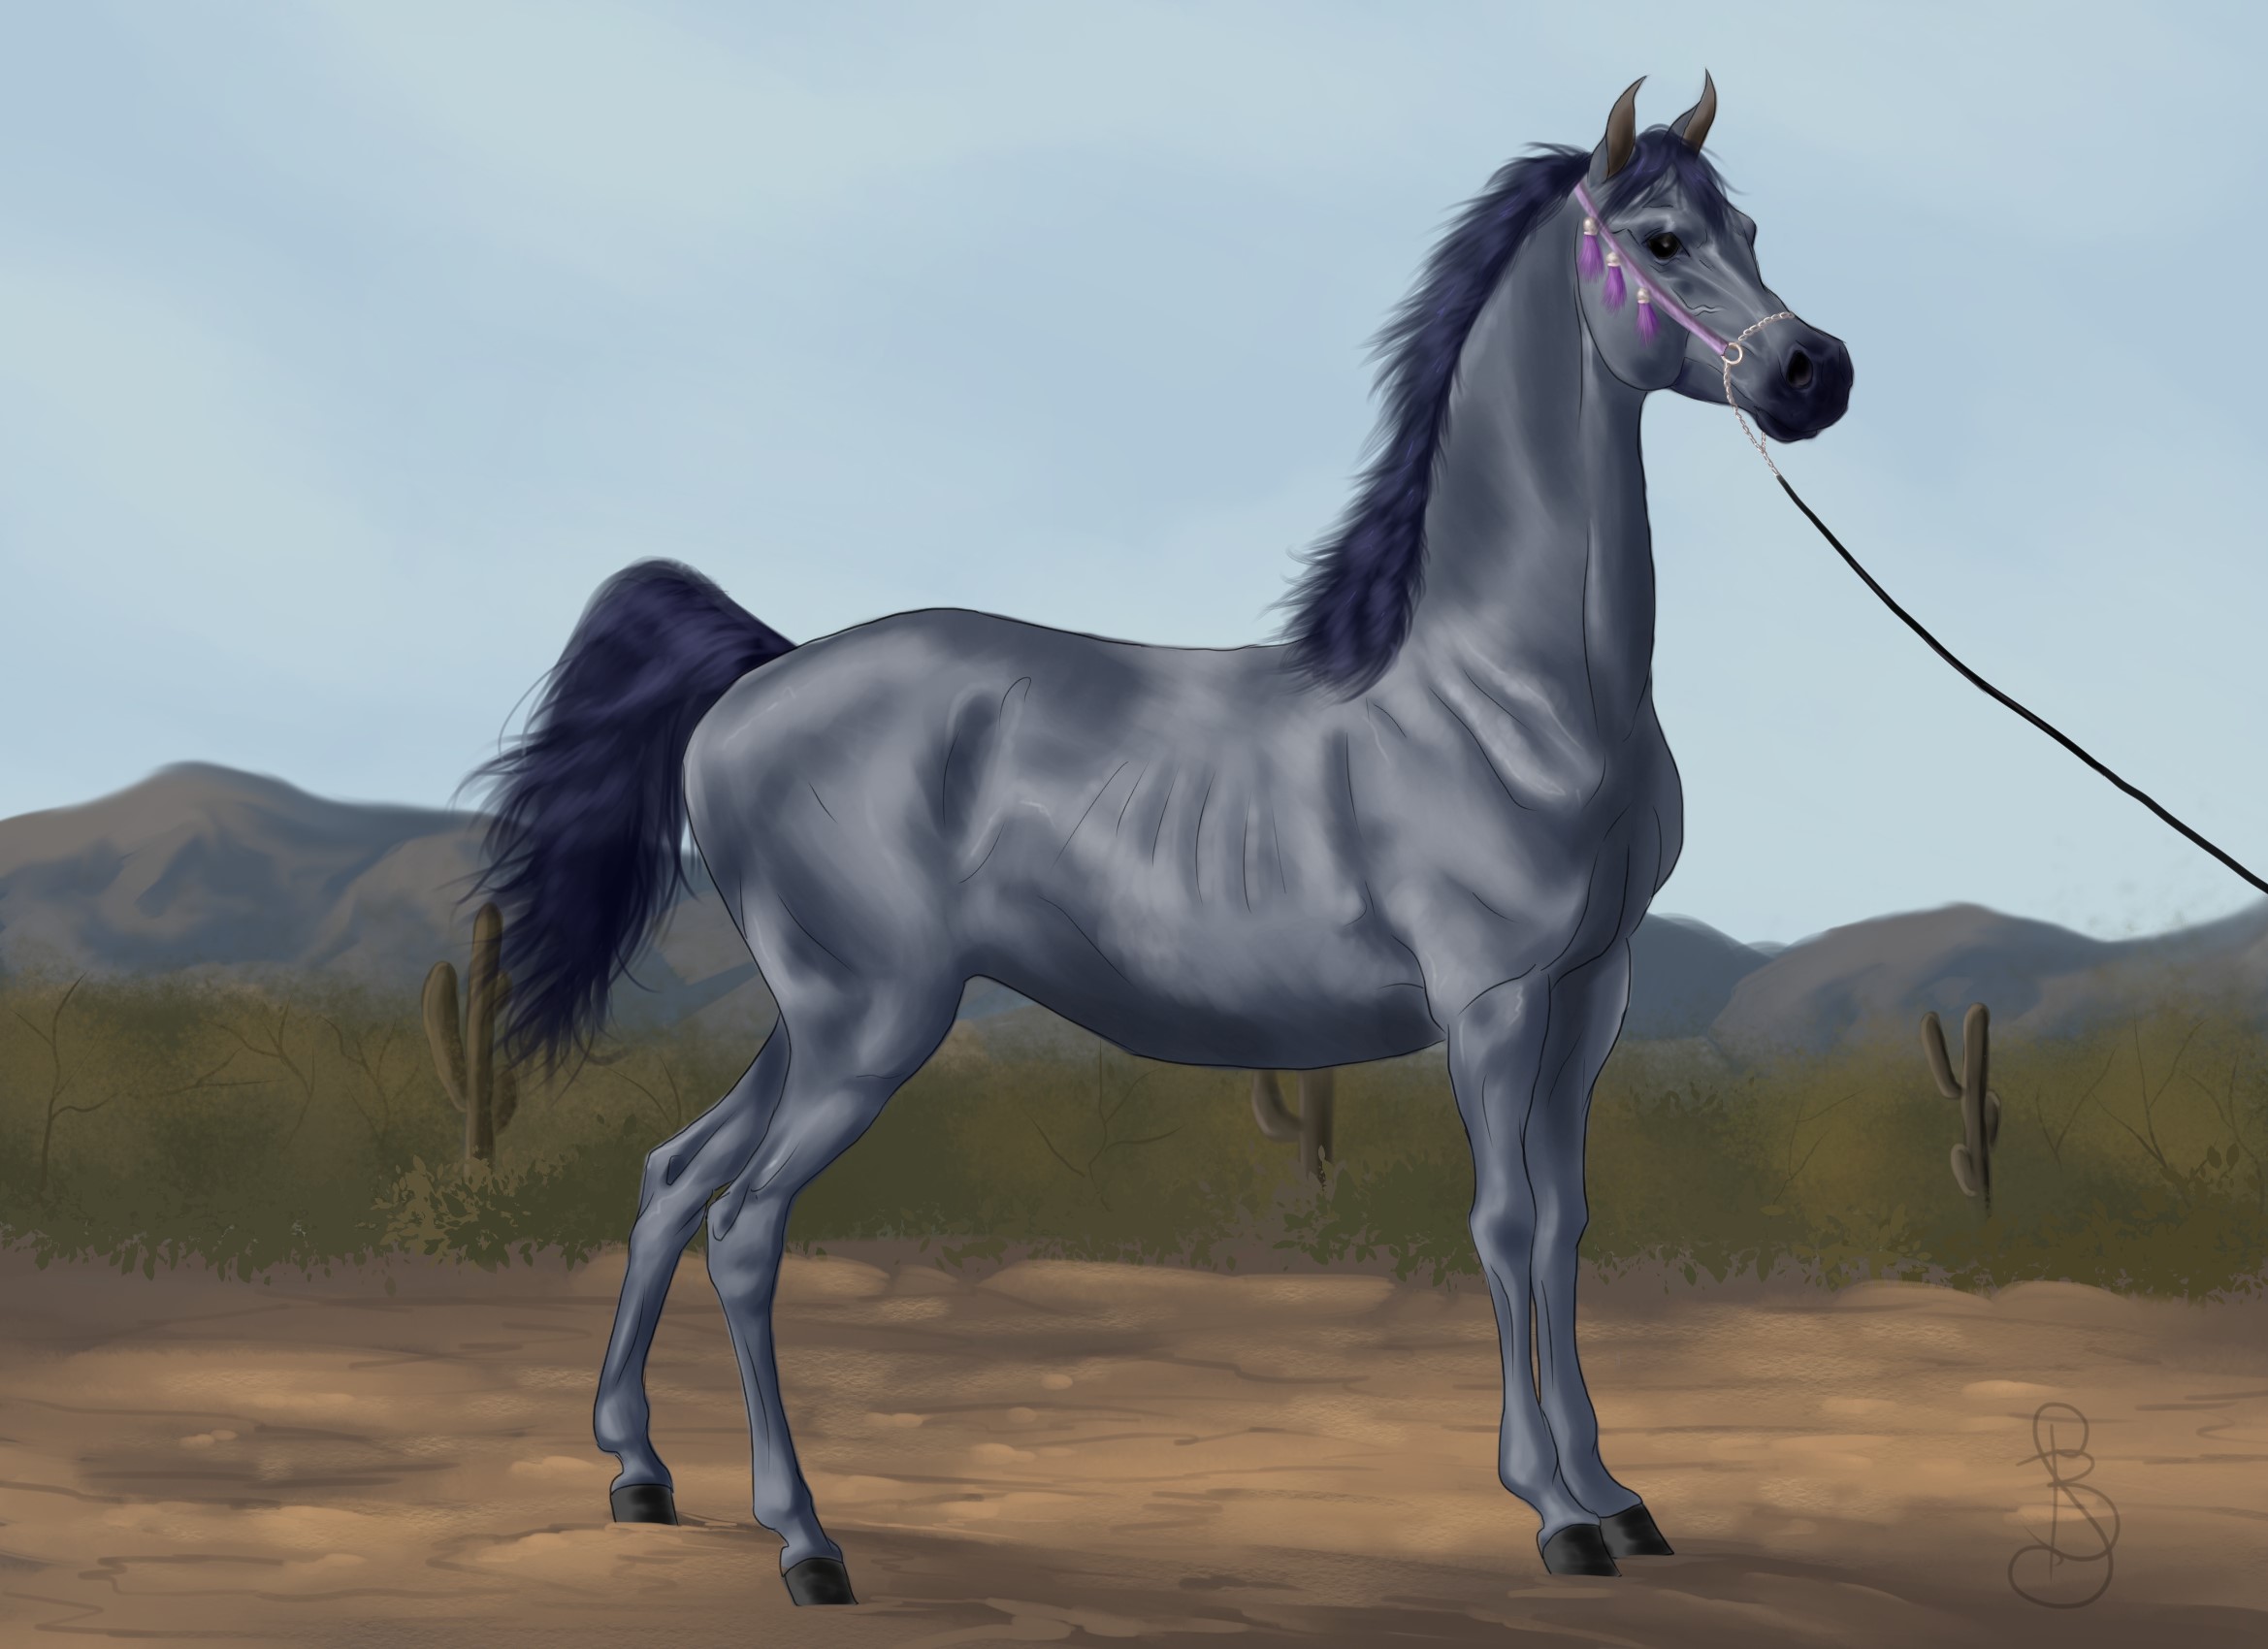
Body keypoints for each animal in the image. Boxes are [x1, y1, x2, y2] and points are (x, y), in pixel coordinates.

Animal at [464, 73, 1852, 1603]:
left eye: (1748, 228)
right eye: (1661, 240)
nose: (1812, 372)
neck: (1505, 692)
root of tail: (760, 674)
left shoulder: (1585, 997)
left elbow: (1561, 1229)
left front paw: (1615, 1495)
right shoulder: (1490, 1004)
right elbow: (1499, 1225)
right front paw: (1550, 1511)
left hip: (819, 1017)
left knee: (673, 1178)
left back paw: (640, 1475)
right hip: (867, 1024)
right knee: (745, 1222)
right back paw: (805, 1542)